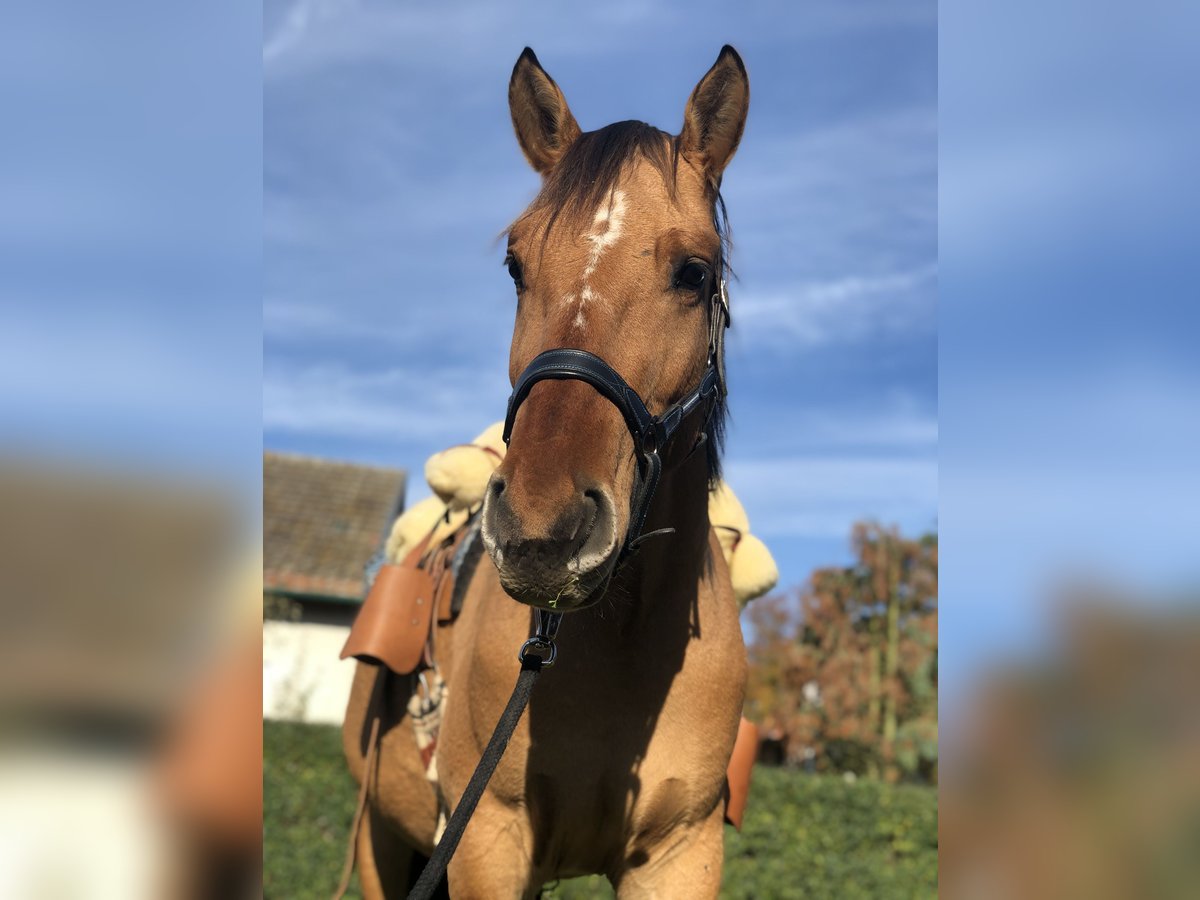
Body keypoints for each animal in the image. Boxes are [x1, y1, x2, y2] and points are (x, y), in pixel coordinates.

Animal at [343, 45, 751, 899]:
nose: (542, 531)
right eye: (514, 265)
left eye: (694, 272)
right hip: (380, 842)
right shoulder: (489, 843)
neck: (624, 644)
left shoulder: (682, 854)